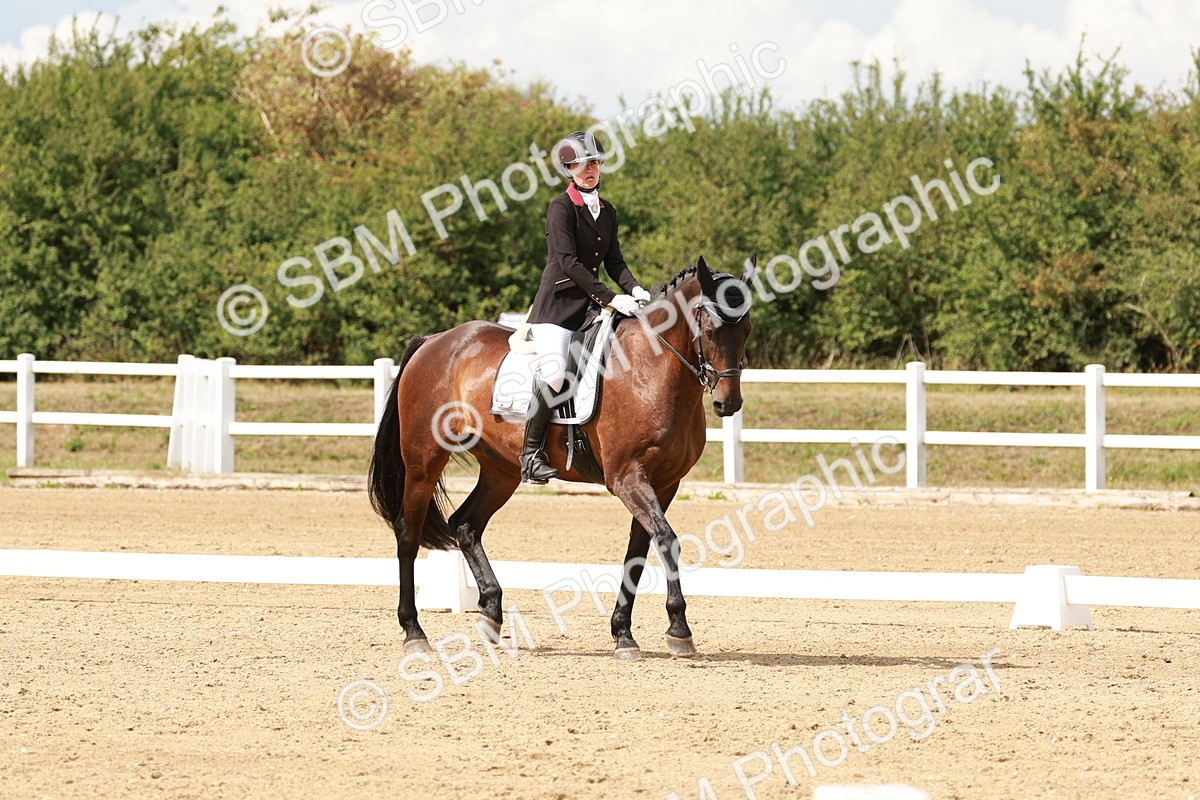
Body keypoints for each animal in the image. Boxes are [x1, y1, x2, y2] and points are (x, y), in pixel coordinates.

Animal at [368, 256, 755, 660]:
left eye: (746, 330)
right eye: (710, 330)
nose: (728, 404)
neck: (653, 369)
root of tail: (434, 341)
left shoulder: (664, 483)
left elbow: (638, 549)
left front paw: (623, 633)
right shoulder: (627, 477)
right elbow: (666, 539)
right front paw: (678, 628)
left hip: (500, 470)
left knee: (465, 524)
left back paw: (491, 614)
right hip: (423, 460)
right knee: (408, 533)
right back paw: (414, 631)